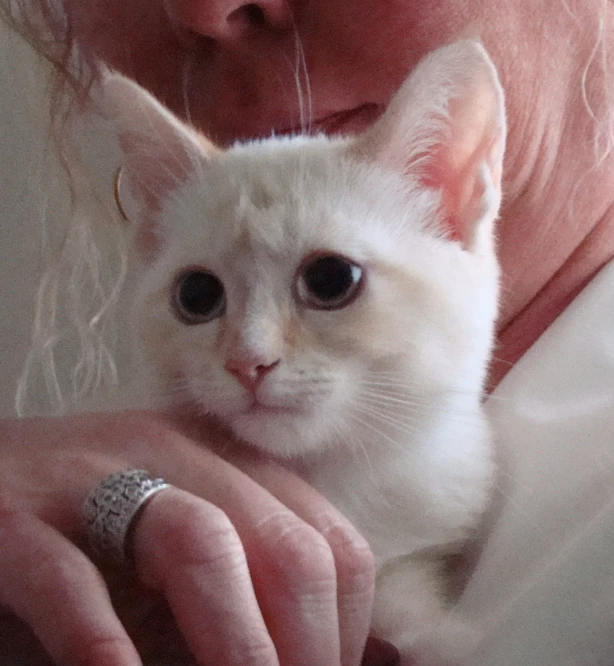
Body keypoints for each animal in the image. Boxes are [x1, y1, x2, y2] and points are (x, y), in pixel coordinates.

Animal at [103, 39, 508, 660]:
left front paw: (441, 637)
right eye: (196, 295)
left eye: (331, 279)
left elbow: (399, 598)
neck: (327, 486)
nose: (247, 362)